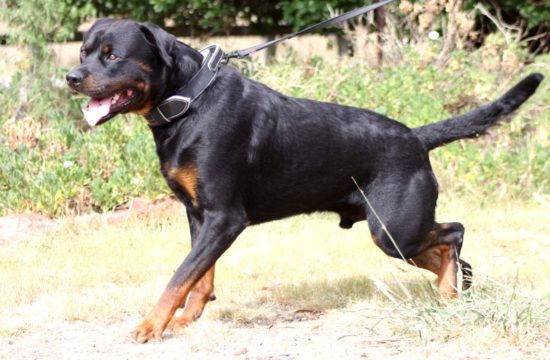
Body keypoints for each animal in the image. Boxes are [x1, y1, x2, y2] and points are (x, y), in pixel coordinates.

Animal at [67, 17, 544, 344]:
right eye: (83, 52)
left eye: (112, 55)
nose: (71, 77)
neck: (189, 102)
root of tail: (416, 136)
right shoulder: (198, 213)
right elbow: (198, 275)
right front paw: (188, 317)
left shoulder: (225, 217)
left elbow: (178, 275)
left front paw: (151, 325)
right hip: (394, 232)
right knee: (451, 249)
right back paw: (455, 290)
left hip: (394, 227)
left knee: (454, 231)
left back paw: (449, 290)